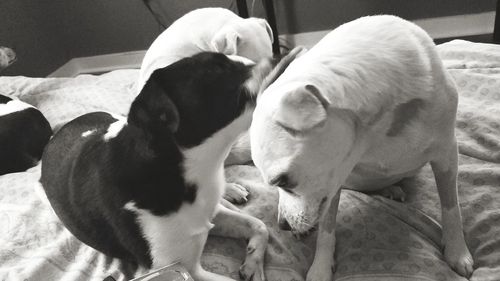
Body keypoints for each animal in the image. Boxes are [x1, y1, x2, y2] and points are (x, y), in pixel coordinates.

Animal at [41, 48, 302, 280]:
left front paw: (253, 264)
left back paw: (230, 189)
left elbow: (259, 225)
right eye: (216, 68)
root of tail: (58, 132)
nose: (279, 56)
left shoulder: (209, 214)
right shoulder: (181, 268)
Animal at [252, 15, 474, 280]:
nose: (283, 225)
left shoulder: (447, 154)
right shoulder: (334, 183)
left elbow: (452, 208)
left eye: (283, 180)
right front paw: (321, 267)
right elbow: (326, 231)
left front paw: (457, 251)